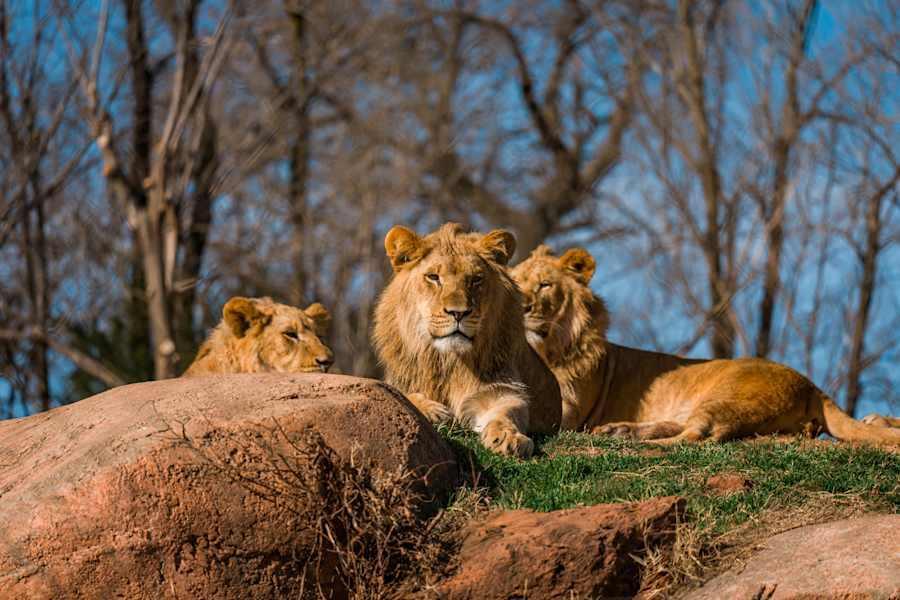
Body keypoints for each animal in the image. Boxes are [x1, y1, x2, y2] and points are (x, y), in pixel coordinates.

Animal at [372, 223, 562, 458]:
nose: (458, 313)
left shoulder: (500, 389)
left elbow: (507, 412)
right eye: (433, 277)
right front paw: (435, 412)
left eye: (476, 279)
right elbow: (405, 395)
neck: (447, 361)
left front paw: (507, 438)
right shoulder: (399, 382)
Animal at [511, 246, 900, 445]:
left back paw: (636, 443)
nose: (523, 306)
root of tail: (811, 385)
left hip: (729, 396)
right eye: (515, 284)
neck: (543, 352)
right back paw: (620, 430)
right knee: (685, 428)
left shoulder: (565, 413)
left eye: (545, 285)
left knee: (699, 436)